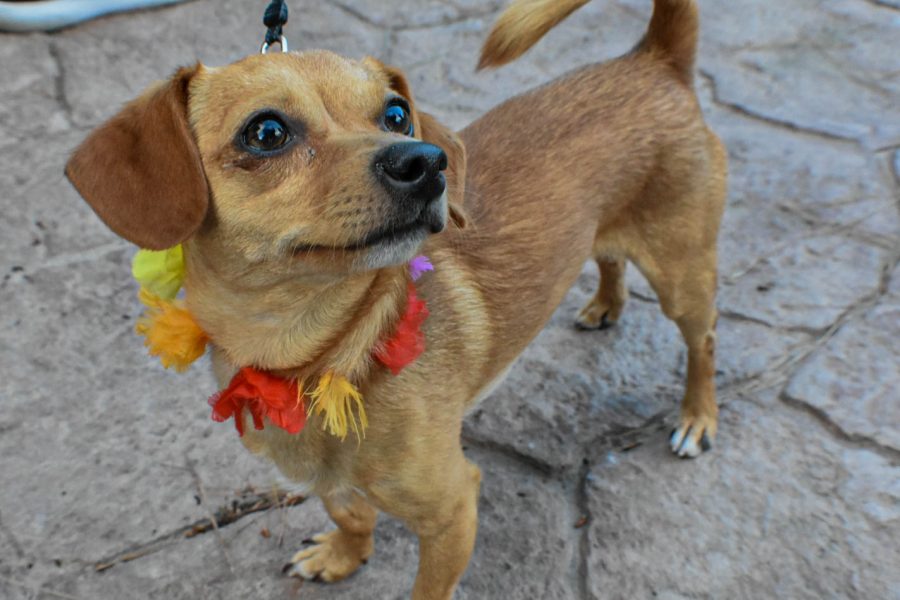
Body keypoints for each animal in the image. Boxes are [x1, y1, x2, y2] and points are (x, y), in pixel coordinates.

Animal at [65, 0, 724, 596]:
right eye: (266, 132)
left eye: (397, 114)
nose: (427, 160)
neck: (321, 353)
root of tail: (653, 58)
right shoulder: (327, 480)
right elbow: (349, 512)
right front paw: (343, 554)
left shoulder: (453, 512)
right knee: (608, 253)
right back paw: (606, 304)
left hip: (682, 277)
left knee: (704, 342)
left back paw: (697, 418)